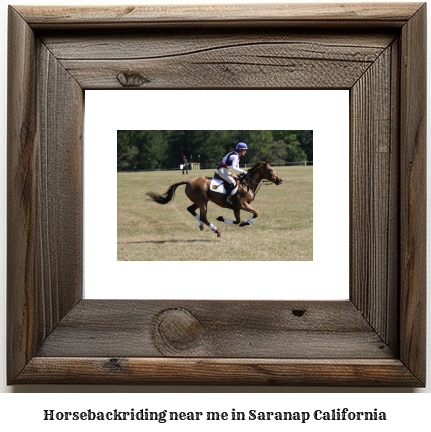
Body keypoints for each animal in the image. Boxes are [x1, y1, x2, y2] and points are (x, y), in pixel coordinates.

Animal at [147, 160, 286, 238]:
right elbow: (256, 213)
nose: (280, 180)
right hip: (202, 201)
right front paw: (247, 223)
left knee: (191, 209)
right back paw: (216, 231)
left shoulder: (236, 208)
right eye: (270, 170)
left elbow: (237, 221)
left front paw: (223, 219)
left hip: (199, 201)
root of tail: (188, 181)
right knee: (203, 216)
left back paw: (202, 225)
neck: (247, 184)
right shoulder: (243, 204)